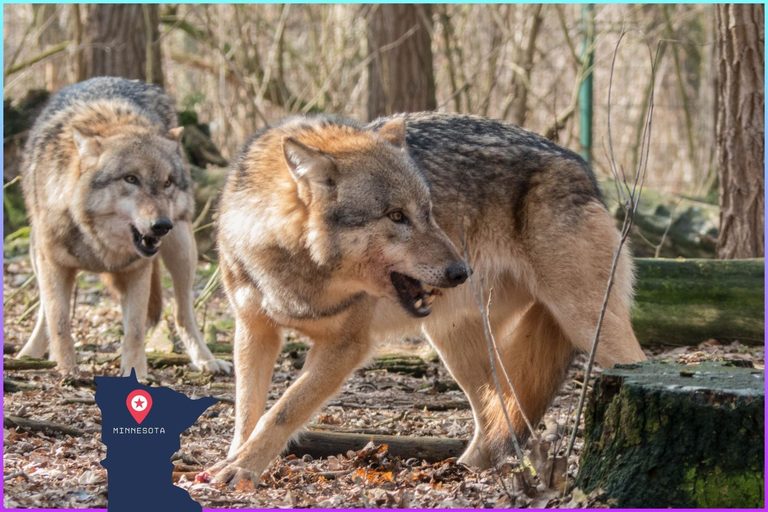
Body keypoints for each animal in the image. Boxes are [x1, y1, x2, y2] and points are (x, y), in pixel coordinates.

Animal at [17, 76, 231, 378]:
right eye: (131, 179)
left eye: (167, 182)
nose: (161, 225)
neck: (98, 242)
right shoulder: (53, 265)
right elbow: (59, 321)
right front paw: (68, 370)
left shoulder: (137, 270)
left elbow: (136, 331)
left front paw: (135, 373)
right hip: (37, 255)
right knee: (44, 313)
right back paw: (30, 354)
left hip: (182, 249)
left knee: (182, 313)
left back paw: (206, 360)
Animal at [210, 113, 646, 484]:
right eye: (396, 216)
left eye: (429, 211)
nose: (461, 271)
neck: (296, 267)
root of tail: (582, 168)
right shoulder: (254, 330)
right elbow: (248, 411)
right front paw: (235, 460)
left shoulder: (346, 345)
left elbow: (283, 410)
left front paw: (241, 469)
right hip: (455, 342)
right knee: (496, 412)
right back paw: (465, 471)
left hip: (589, 326)